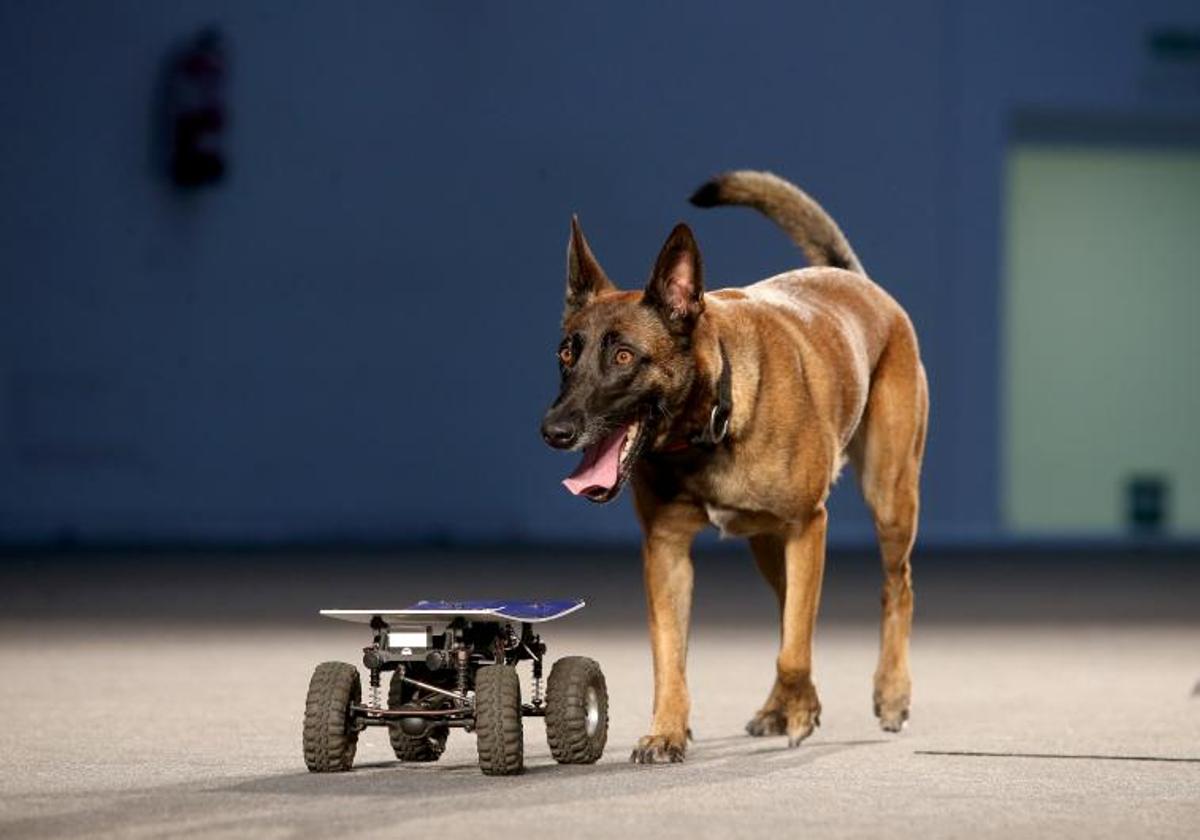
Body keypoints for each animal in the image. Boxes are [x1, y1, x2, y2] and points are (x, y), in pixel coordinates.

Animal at [542, 170, 926, 763]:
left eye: (624, 356)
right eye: (567, 354)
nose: (554, 430)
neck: (709, 423)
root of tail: (856, 281)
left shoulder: (808, 526)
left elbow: (794, 647)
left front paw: (801, 713)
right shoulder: (667, 551)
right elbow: (670, 655)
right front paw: (667, 729)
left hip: (887, 499)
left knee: (893, 590)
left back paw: (890, 693)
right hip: (768, 544)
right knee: (791, 612)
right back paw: (783, 705)